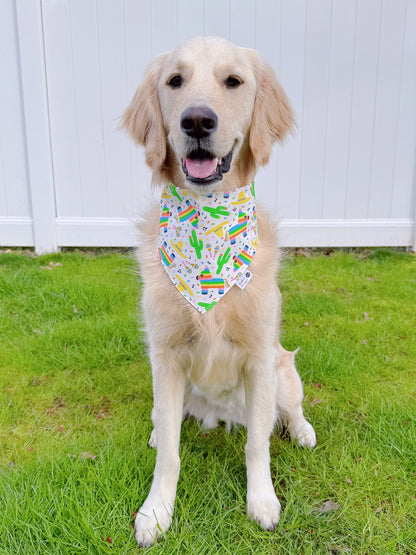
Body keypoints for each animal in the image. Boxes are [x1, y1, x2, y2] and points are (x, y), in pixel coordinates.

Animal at [122, 38, 316, 548]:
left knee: (288, 411)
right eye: (175, 81)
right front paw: (156, 512)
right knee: (164, 421)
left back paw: (303, 430)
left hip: (283, 371)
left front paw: (262, 502)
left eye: (234, 81)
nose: (196, 121)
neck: (206, 223)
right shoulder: (166, 357)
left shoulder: (259, 357)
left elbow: (256, 444)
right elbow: (169, 453)